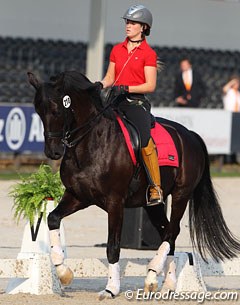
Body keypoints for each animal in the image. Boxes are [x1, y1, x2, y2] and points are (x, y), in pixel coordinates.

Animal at [27, 70, 240, 296]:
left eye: (57, 110)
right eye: (38, 111)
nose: (53, 152)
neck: (91, 143)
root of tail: (189, 135)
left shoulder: (115, 202)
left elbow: (113, 246)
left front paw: (111, 288)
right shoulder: (78, 196)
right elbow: (52, 218)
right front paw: (63, 272)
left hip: (181, 194)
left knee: (172, 231)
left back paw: (153, 272)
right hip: (153, 205)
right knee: (167, 233)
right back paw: (164, 283)